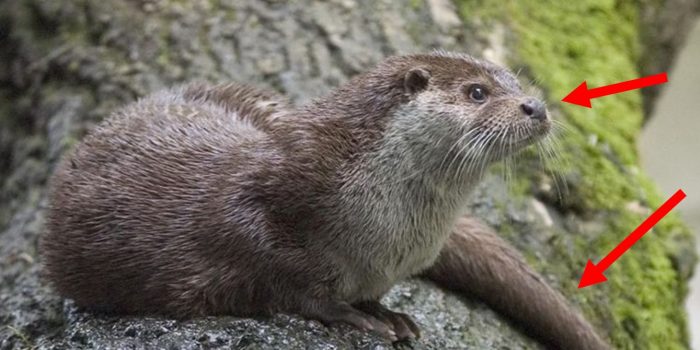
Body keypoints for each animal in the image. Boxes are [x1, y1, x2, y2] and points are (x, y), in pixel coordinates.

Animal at [41, 52, 608, 350]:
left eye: (516, 80)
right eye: (476, 92)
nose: (536, 107)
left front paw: (386, 311)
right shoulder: (264, 205)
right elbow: (280, 274)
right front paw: (354, 315)